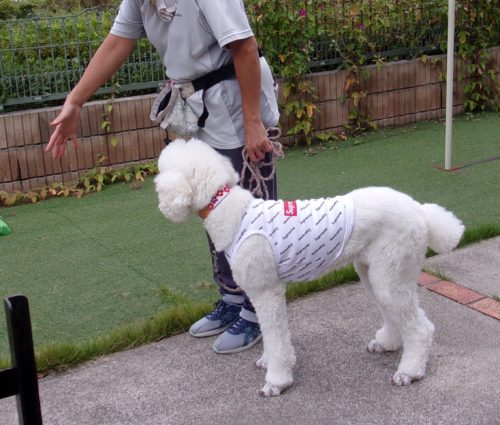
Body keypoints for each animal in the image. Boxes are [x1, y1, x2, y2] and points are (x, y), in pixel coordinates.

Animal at [154, 138, 464, 397]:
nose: (161, 207)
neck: (232, 212)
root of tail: (421, 211)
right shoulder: (267, 293)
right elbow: (274, 336)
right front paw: (270, 361)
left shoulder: (266, 292)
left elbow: (275, 337)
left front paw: (276, 381)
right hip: (376, 272)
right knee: (395, 315)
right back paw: (387, 344)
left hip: (391, 271)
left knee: (420, 328)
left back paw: (409, 371)